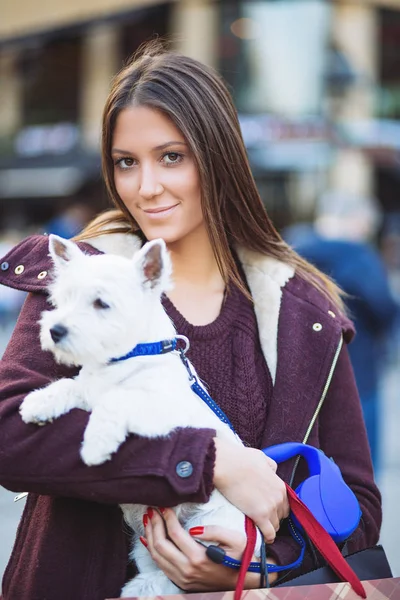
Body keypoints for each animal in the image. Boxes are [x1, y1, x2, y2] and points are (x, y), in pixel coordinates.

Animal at [19, 237, 260, 596]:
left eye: (101, 303)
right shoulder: (89, 388)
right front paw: (38, 403)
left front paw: (96, 445)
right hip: (146, 545)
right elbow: (69, 385)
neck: (126, 357)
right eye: (62, 299)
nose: (55, 331)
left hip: (209, 528)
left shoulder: (163, 413)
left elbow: (117, 400)